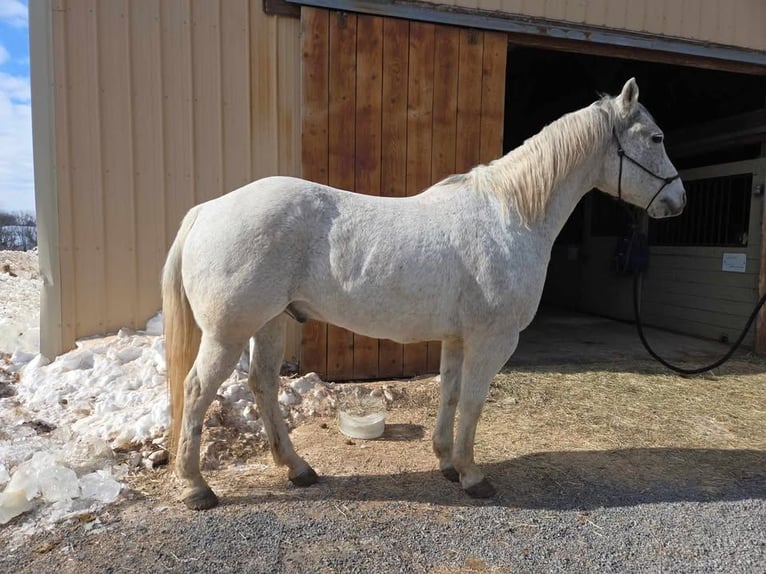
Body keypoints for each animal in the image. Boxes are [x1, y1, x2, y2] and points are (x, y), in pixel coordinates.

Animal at [162, 78, 685, 510]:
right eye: (656, 138)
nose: (678, 201)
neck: (510, 216)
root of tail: (207, 209)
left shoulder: (456, 339)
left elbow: (450, 396)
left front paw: (448, 464)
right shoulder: (492, 341)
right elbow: (473, 403)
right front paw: (474, 477)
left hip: (270, 323)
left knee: (263, 386)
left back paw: (298, 470)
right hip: (228, 332)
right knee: (196, 390)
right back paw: (196, 488)